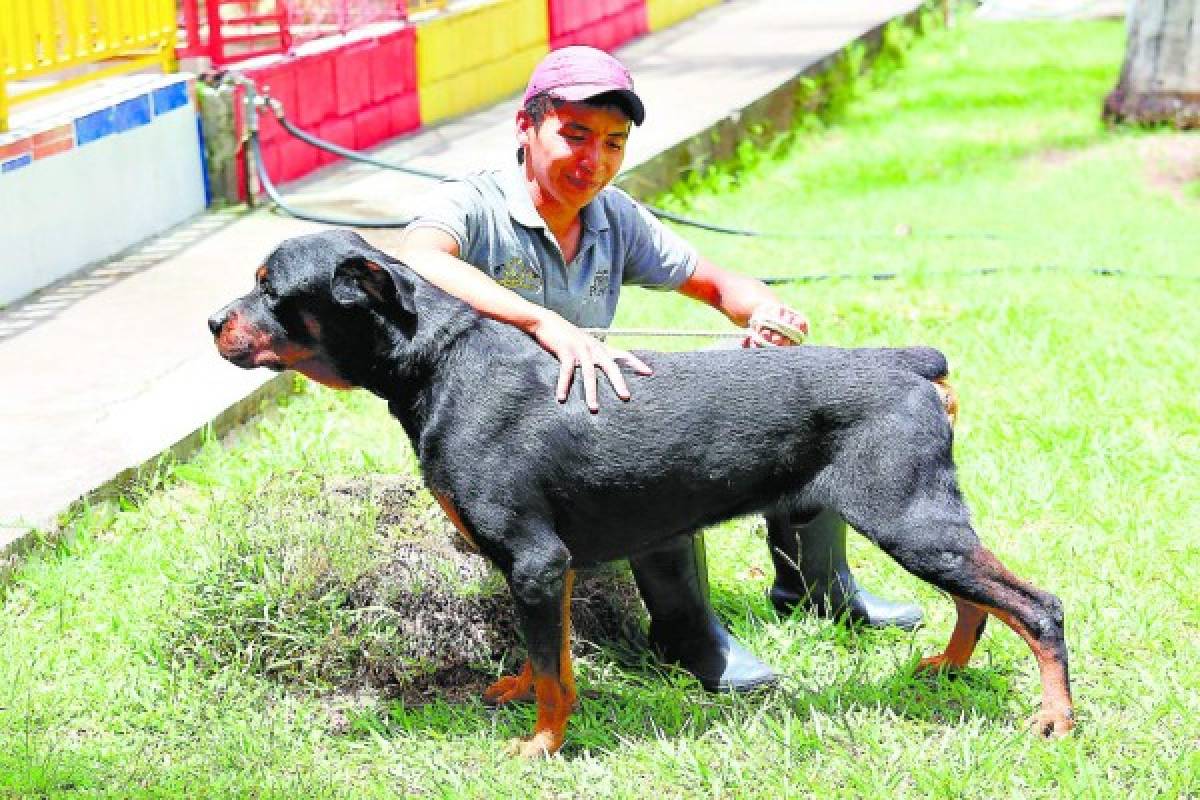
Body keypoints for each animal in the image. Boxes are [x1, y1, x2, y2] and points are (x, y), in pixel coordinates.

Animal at [208, 230, 1080, 758]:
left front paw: (541, 746)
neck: (436, 364)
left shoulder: (532, 556)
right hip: (921, 521)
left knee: (1037, 607)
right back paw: (947, 668)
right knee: (980, 601)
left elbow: (552, 666)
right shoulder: (546, 568)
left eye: (271, 288)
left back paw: (1055, 719)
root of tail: (912, 362)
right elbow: (551, 655)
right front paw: (525, 698)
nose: (214, 320)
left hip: (909, 519)